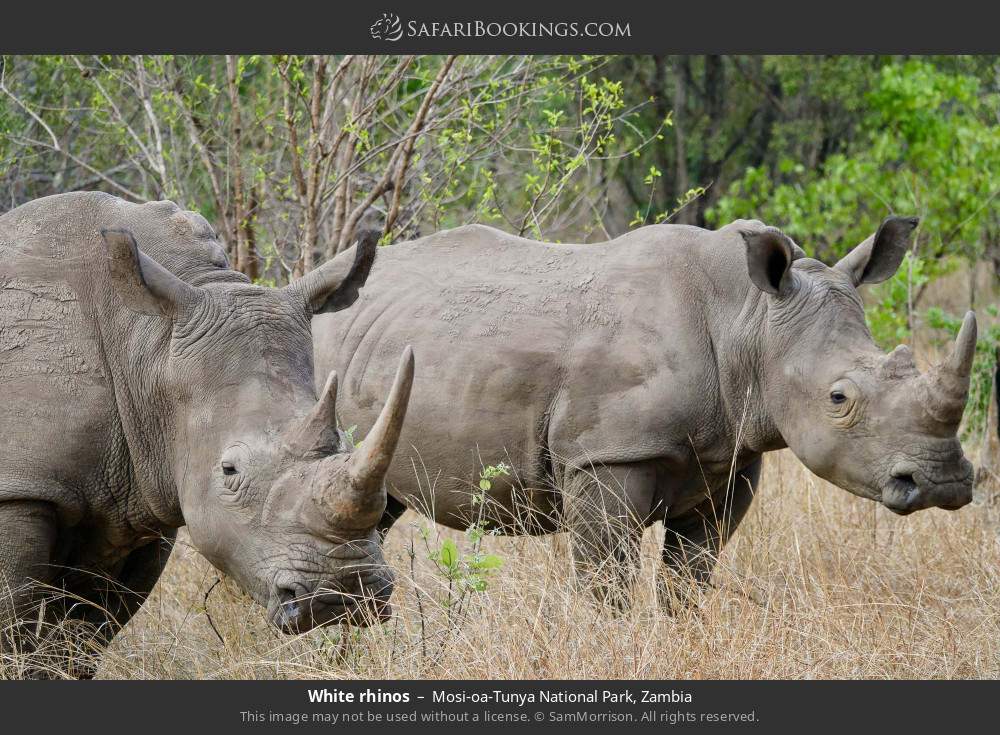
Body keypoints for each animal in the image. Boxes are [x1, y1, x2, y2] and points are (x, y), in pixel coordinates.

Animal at [0, 192, 413, 674]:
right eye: (229, 470)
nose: (346, 594)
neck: (147, 343)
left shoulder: (138, 490)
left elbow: (81, 638)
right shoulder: (20, 485)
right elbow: (12, 630)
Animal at [313, 217, 977, 601]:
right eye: (839, 399)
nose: (942, 483)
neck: (748, 320)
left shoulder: (730, 458)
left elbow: (691, 577)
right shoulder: (608, 455)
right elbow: (607, 583)